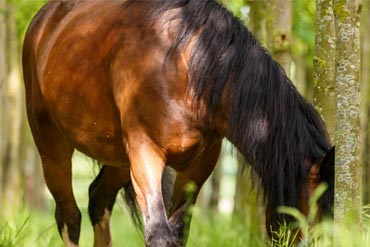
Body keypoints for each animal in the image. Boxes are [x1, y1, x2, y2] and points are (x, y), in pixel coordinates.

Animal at [23, 0, 336, 247]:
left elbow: (177, 232)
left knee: (98, 199)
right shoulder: (145, 155)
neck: (186, 66)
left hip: (117, 158)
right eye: (312, 216)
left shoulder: (198, 167)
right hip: (52, 147)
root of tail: (43, 20)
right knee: (69, 215)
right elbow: (159, 234)